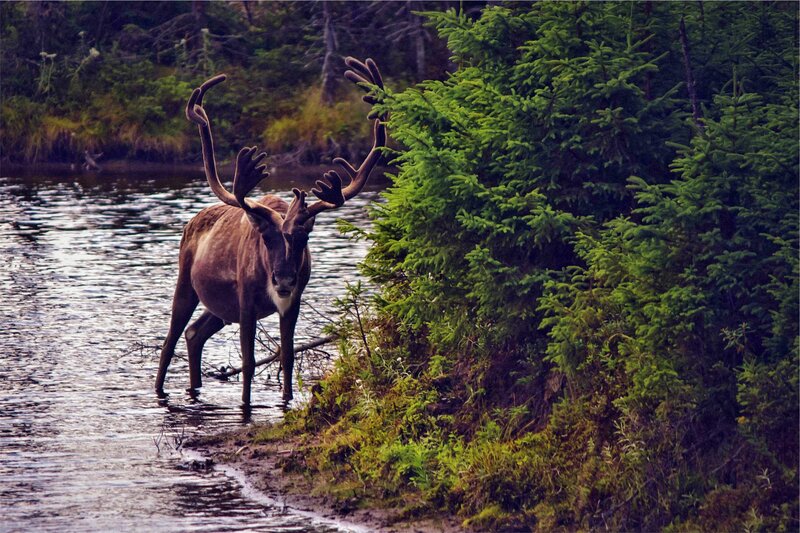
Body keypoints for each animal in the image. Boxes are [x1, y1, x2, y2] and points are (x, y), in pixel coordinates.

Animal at [155, 57, 386, 405]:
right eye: (265, 237)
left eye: (303, 237)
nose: (284, 280)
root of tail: (192, 222)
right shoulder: (246, 300)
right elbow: (249, 362)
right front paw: (245, 404)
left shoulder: (293, 302)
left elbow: (287, 356)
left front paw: (287, 401)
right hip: (186, 283)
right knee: (169, 341)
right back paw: (160, 389)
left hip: (220, 307)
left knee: (194, 334)